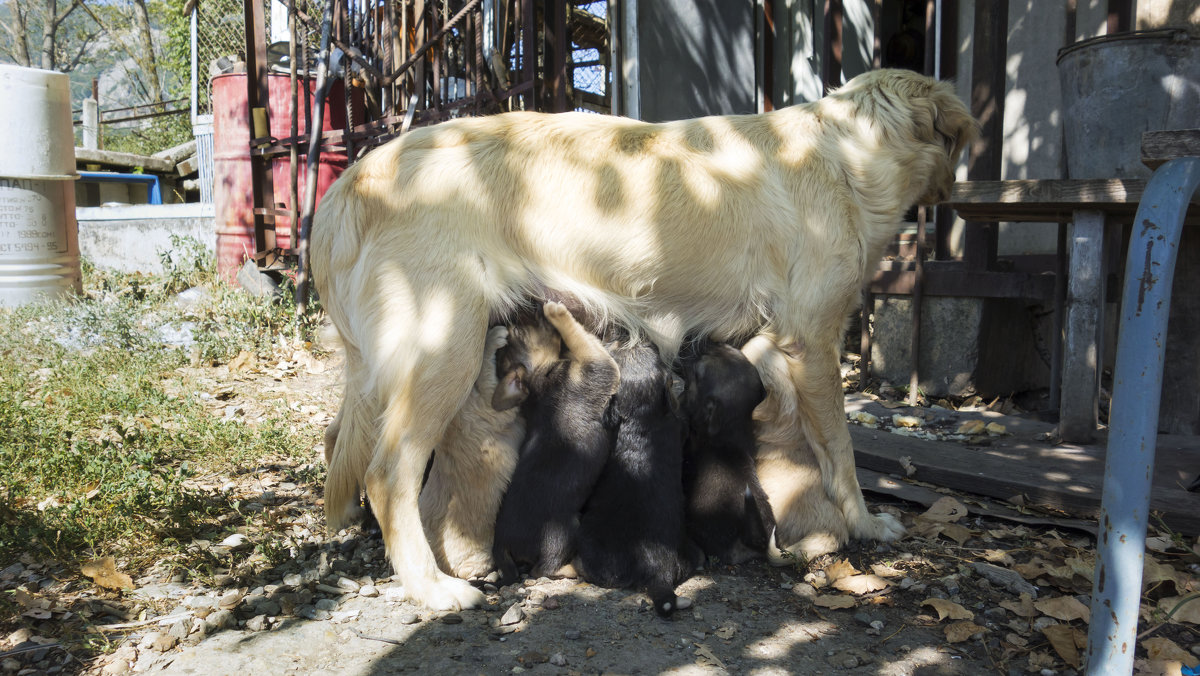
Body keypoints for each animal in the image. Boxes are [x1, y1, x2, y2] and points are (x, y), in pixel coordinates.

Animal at [489, 301, 619, 581]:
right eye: (520, 331)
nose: (535, 306)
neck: (539, 382)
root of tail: (501, 544)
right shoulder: (598, 366)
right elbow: (579, 338)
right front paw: (558, 313)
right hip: (564, 529)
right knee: (543, 570)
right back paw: (573, 568)